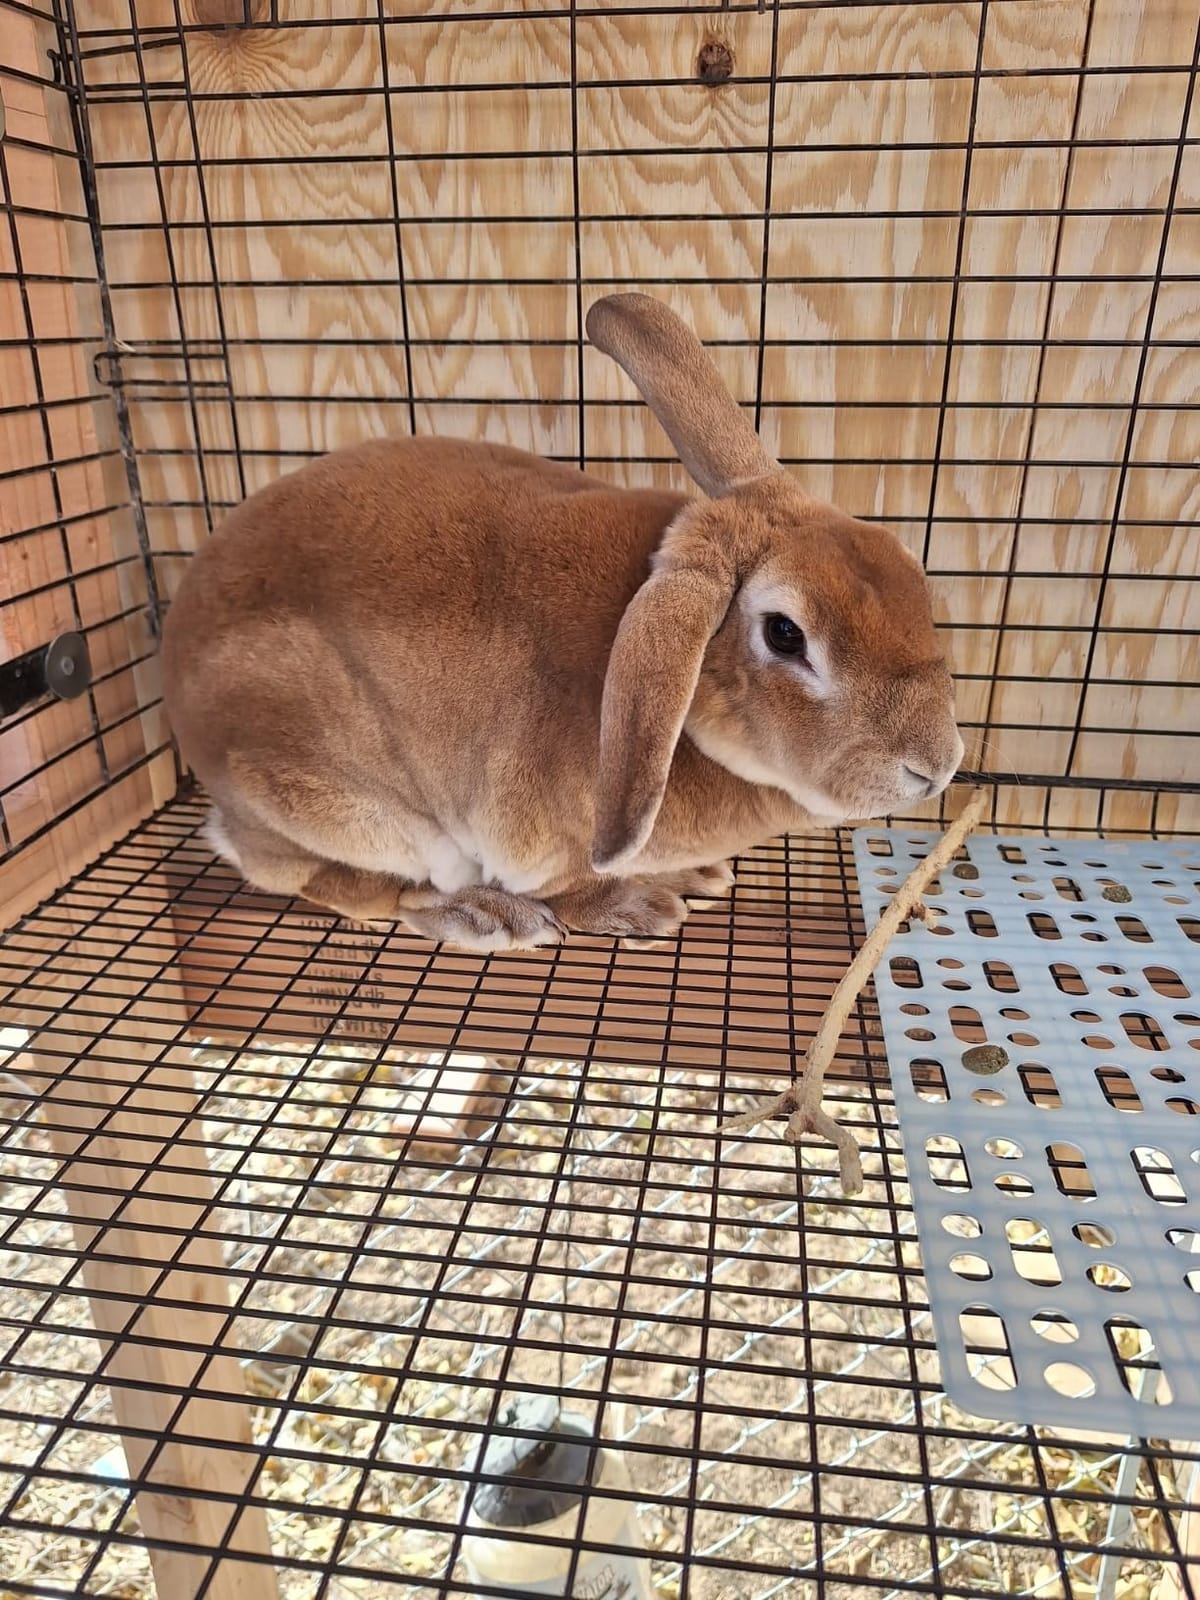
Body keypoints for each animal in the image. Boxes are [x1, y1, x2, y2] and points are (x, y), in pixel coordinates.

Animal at [160, 293, 963, 952]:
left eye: (909, 573)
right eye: (786, 634)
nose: (940, 766)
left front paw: (694, 878)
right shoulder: (534, 831)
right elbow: (569, 886)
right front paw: (634, 907)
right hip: (333, 798)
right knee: (347, 888)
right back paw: (482, 915)